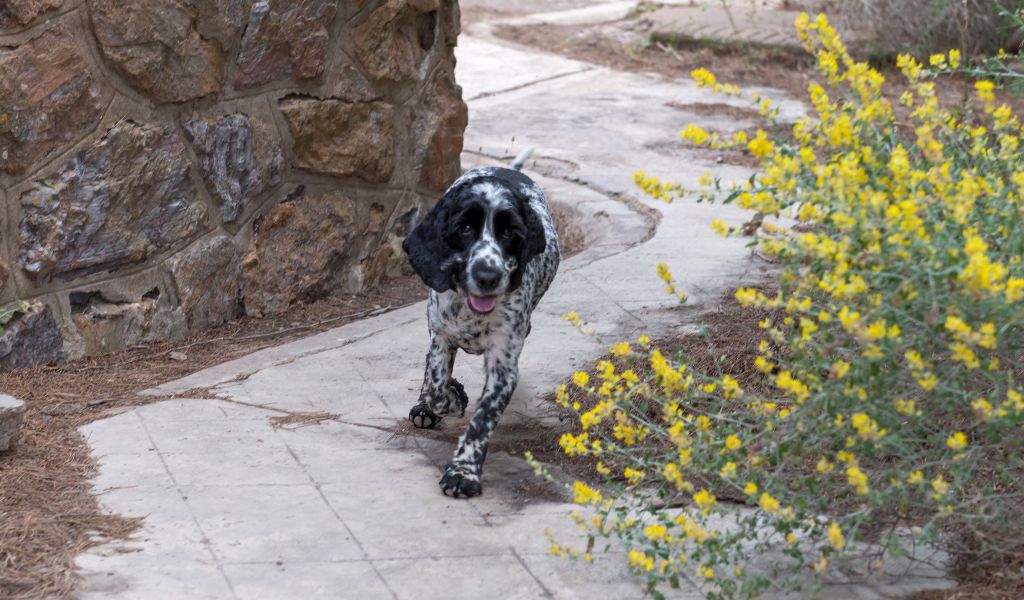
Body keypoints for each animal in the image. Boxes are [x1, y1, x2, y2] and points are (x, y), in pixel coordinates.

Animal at [399, 151, 561, 497]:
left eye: (509, 233)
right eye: (464, 228)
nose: (489, 276)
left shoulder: (503, 365)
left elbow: (482, 421)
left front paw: (464, 472)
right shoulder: (441, 335)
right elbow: (436, 388)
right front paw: (449, 398)